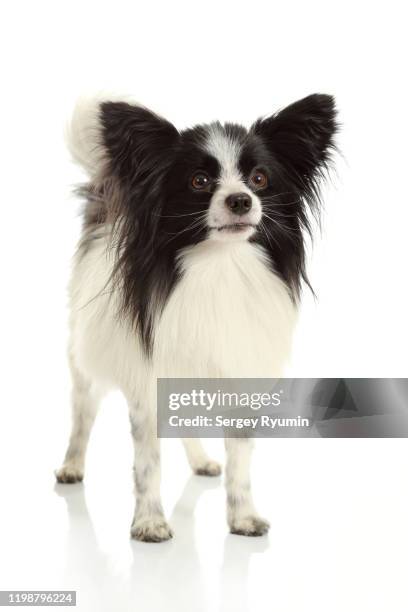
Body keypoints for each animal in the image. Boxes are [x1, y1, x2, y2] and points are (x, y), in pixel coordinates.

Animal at [56, 93, 338, 544]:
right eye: (199, 181)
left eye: (259, 179)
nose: (240, 200)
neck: (220, 267)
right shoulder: (146, 379)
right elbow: (148, 461)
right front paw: (149, 522)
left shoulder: (237, 374)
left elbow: (240, 459)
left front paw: (243, 517)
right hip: (85, 357)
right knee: (83, 413)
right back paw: (72, 465)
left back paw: (201, 460)